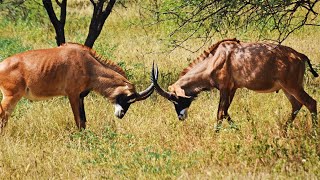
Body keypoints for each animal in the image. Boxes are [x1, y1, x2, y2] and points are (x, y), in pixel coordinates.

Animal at [0, 43, 155, 131]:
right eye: (129, 98)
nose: (120, 115)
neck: (87, 62)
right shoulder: (73, 95)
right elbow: (79, 120)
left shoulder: (81, 97)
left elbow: (84, 120)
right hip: (11, 97)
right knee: (3, 115)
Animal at [152, 37, 318, 131]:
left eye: (175, 99)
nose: (181, 117)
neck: (215, 59)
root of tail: (299, 55)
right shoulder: (233, 89)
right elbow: (226, 112)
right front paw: (238, 130)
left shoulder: (224, 89)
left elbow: (220, 113)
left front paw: (215, 135)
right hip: (286, 89)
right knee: (297, 105)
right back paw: (283, 131)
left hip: (292, 86)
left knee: (311, 103)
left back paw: (313, 133)